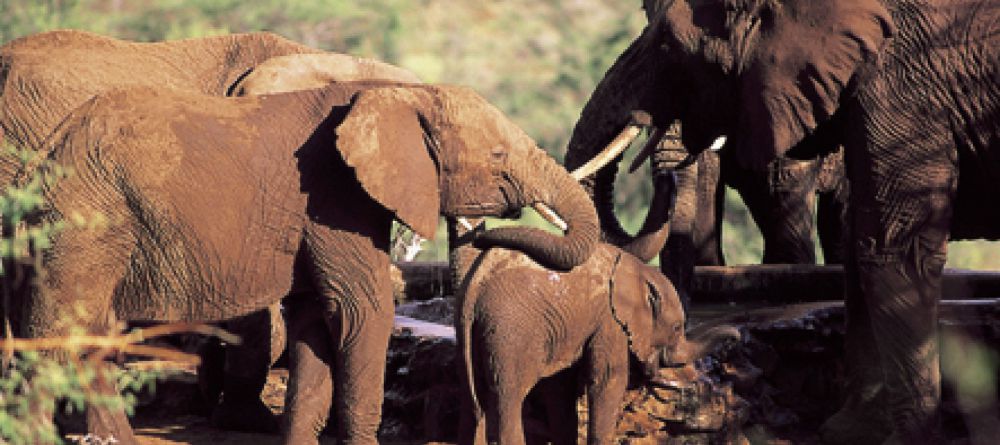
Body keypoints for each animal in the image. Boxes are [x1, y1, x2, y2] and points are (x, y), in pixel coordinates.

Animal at [13, 80, 602, 445]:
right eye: (499, 157)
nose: (480, 233)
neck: (398, 94)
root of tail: (45, 153)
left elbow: (315, 320)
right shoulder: (334, 195)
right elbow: (361, 313)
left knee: (90, 335)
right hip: (85, 220)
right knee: (61, 335)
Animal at [561, 0, 1000, 442]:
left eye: (669, 43)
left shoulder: (899, 92)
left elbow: (892, 248)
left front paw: (898, 437)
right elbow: (862, 248)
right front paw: (849, 429)